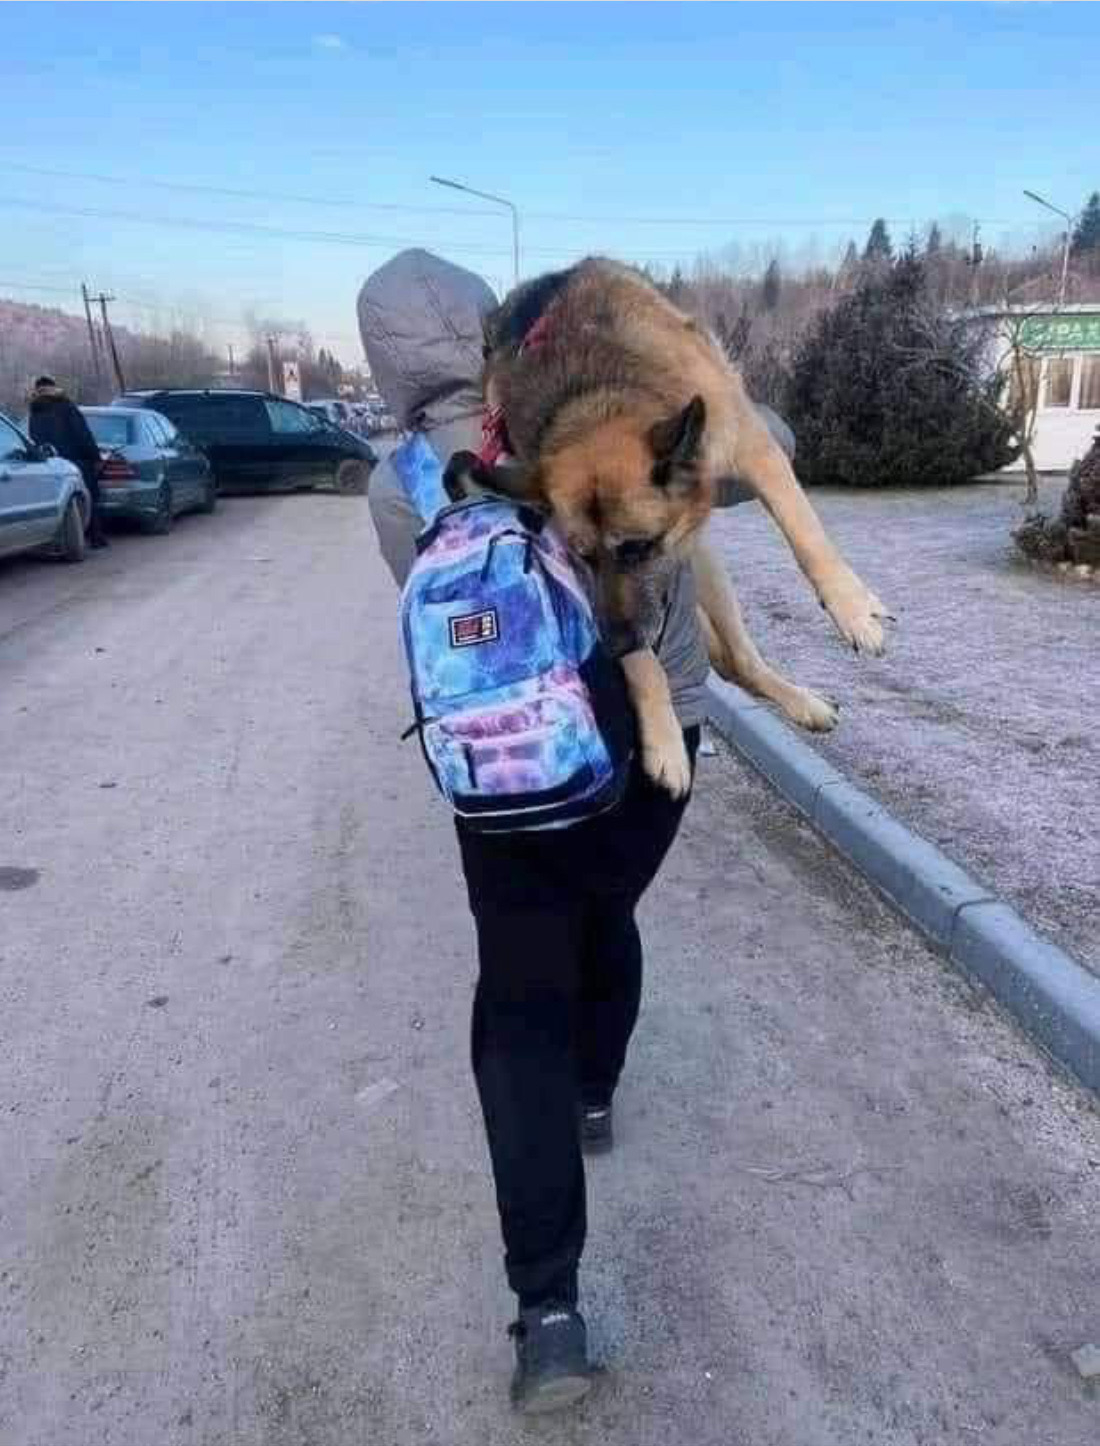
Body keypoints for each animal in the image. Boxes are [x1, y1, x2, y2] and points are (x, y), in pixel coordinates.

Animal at [445, 258, 889, 797]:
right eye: (581, 556)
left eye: (639, 547)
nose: (612, 645)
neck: (596, 397)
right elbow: (644, 666)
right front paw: (663, 740)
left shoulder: (757, 450)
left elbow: (806, 533)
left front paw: (853, 609)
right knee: (734, 665)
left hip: (710, 571)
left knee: (742, 660)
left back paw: (803, 702)